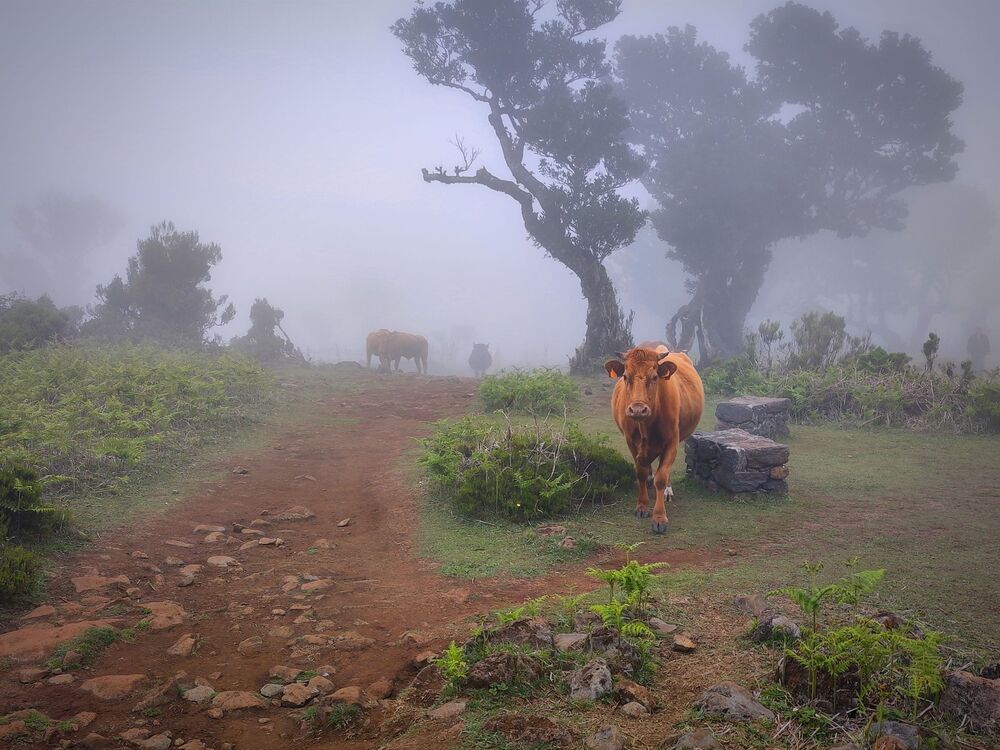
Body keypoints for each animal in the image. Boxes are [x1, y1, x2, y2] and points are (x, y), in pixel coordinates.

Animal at [604, 340, 704, 534]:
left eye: (654, 377)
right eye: (625, 376)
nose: (637, 409)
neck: (646, 426)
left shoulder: (672, 441)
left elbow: (661, 477)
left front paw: (659, 517)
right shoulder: (631, 442)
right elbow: (641, 473)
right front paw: (642, 506)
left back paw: (667, 492)